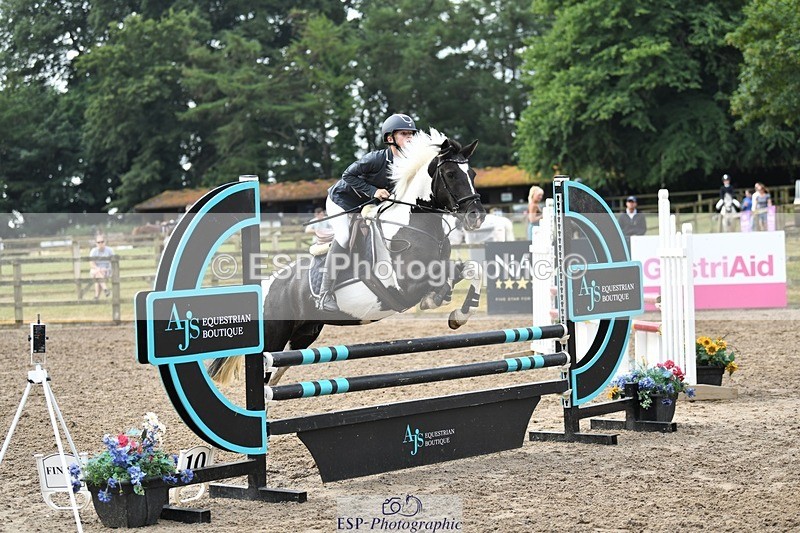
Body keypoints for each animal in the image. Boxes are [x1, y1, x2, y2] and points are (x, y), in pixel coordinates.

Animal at [209, 129, 486, 386]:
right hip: (274, 336)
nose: (477, 216)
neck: (412, 224)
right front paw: (436, 299)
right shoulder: (404, 285)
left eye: (472, 174)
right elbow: (441, 277)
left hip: (303, 334)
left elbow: (472, 269)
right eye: (450, 174)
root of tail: (265, 287)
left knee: (275, 374)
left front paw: (459, 314)